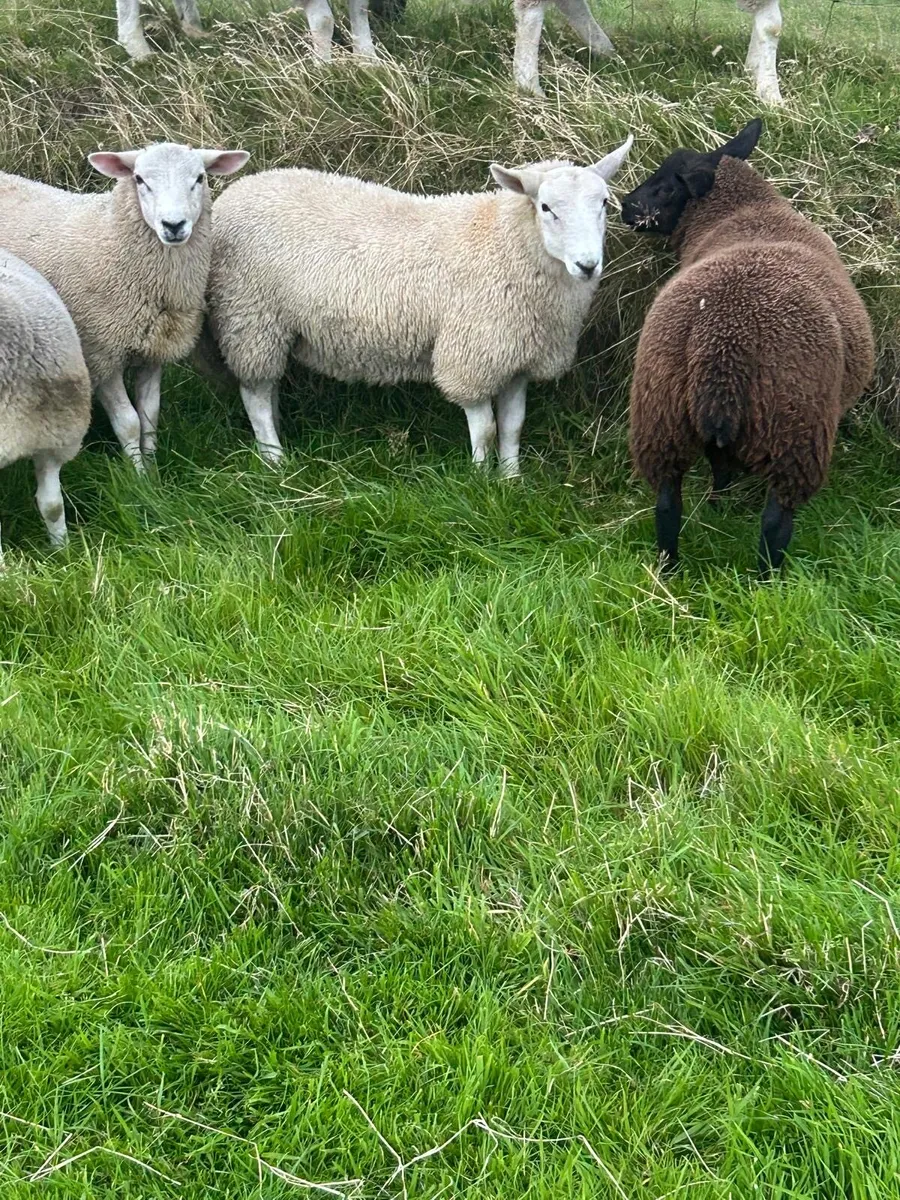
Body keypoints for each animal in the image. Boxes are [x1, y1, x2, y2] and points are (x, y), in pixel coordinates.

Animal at [0, 143, 249, 470]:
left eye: (200, 178)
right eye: (140, 180)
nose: (173, 225)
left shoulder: (153, 350)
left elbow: (150, 415)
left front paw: (153, 469)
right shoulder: (100, 354)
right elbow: (128, 421)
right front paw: (138, 474)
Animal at [206, 137, 633, 476]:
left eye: (605, 203)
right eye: (546, 208)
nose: (588, 264)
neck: (506, 243)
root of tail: (237, 190)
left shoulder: (515, 356)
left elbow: (513, 425)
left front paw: (512, 479)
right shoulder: (470, 355)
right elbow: (486, 429)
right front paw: (482, 481)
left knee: (268, 388)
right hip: (250, 316)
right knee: (255, 394)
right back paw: (273, 457)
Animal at [619, 118, 875, 578]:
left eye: (664, 186)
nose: (626, 207)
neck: (741, 212)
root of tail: (721, 342)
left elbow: (719, 465)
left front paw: (719, 507)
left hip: (660, 413)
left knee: (668, 503)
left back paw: (671, 568)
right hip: (797, 426)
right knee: (776, 519)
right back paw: (768, 581)